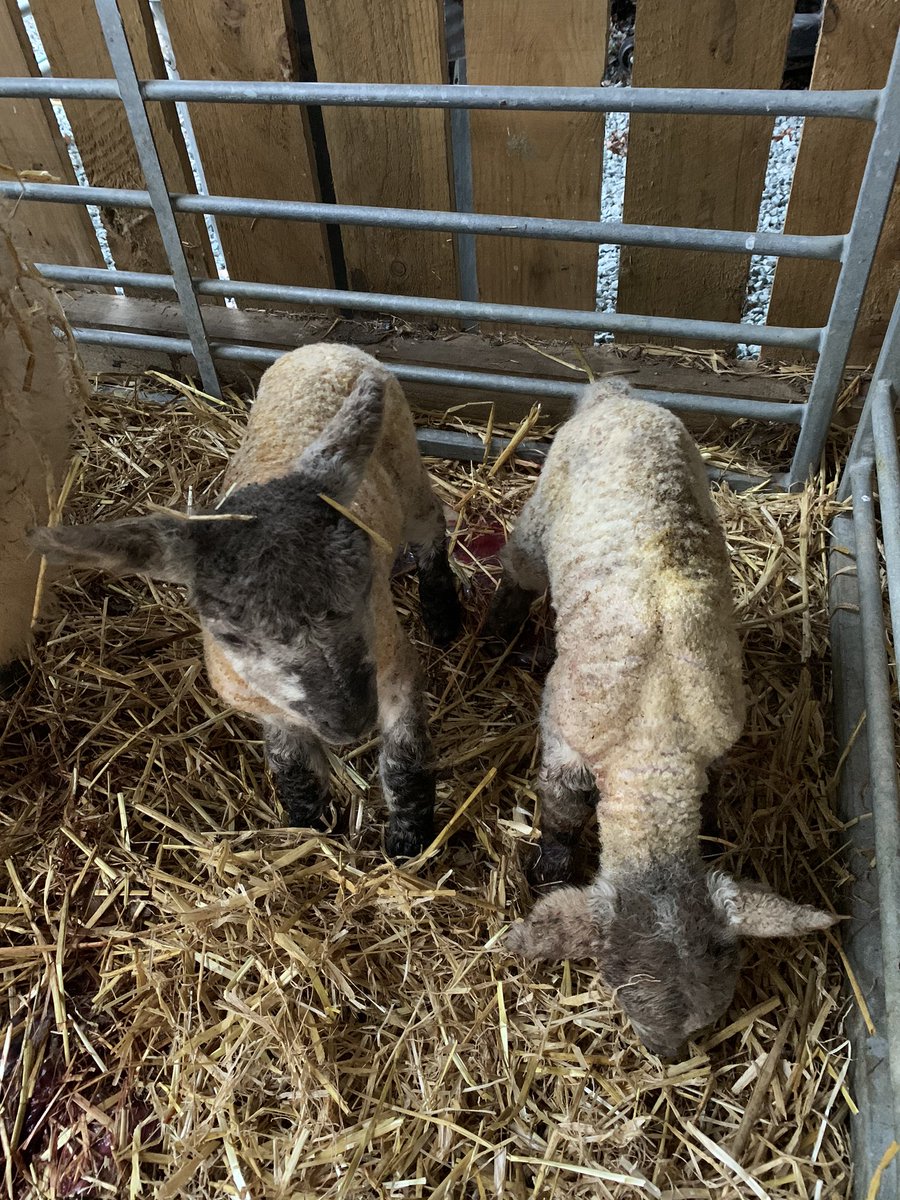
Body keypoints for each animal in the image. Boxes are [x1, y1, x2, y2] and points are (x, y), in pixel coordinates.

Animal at [30, 344, 462, 860]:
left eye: (364, 588)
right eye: (231, 635)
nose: (352, 722)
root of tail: (324, 348)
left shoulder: (395, 665)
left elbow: (404, 754)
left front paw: (408, 838)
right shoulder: (265, 707)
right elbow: (291, 764)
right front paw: (308, 824)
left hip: (405, 461)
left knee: (430, 523)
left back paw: (443, 611)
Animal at [487, 378, 835, 1059]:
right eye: (623, 994)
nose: (666, 1056)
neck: (657, 738)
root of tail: (614, 395)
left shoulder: (714, 743)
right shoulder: (566, 740)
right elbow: (562, 810)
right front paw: (550, 866)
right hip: (541, 514)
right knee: (519, 568)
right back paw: (499, 626)